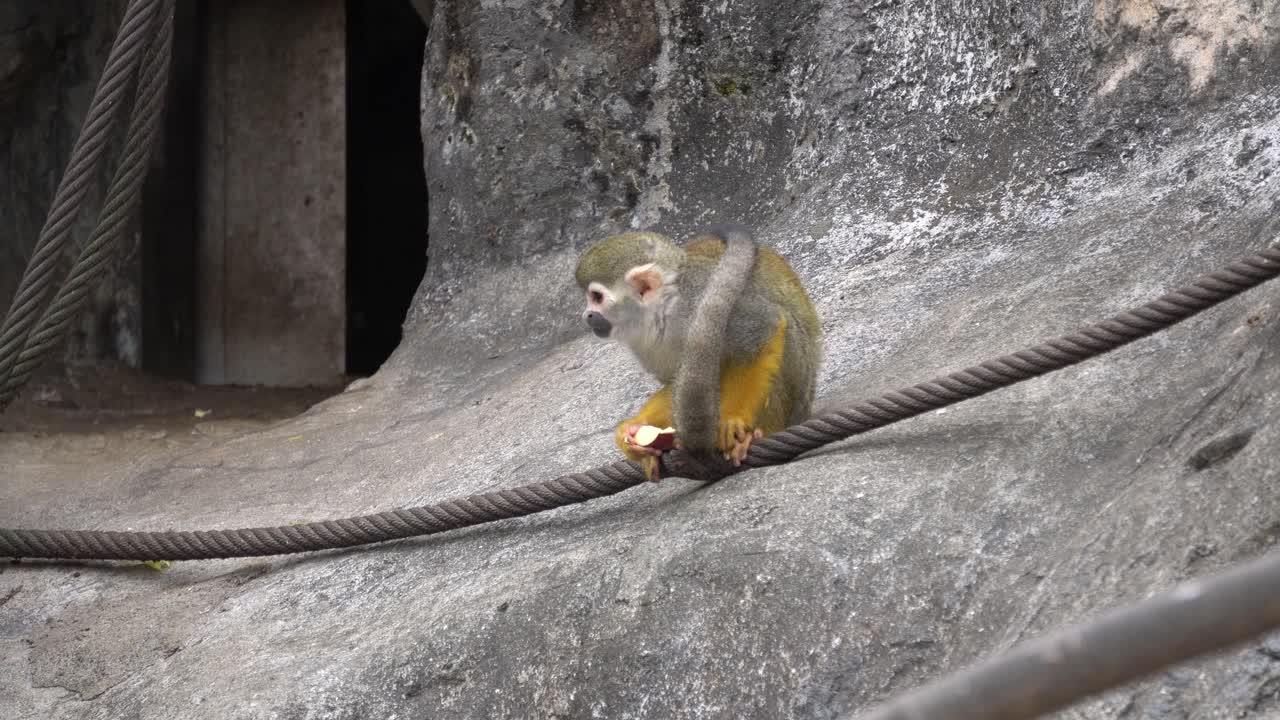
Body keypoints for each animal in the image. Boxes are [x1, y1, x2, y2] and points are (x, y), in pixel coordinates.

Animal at [574, 225, 821, 480]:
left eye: (596, 297)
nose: (587, 315)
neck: (666, 309)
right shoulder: (643, 342)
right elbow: (675, 382)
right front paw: (632, 430)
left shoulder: (697, 297)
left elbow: (764, 327)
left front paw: (733, 420)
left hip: (799, 394)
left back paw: (761, 432)